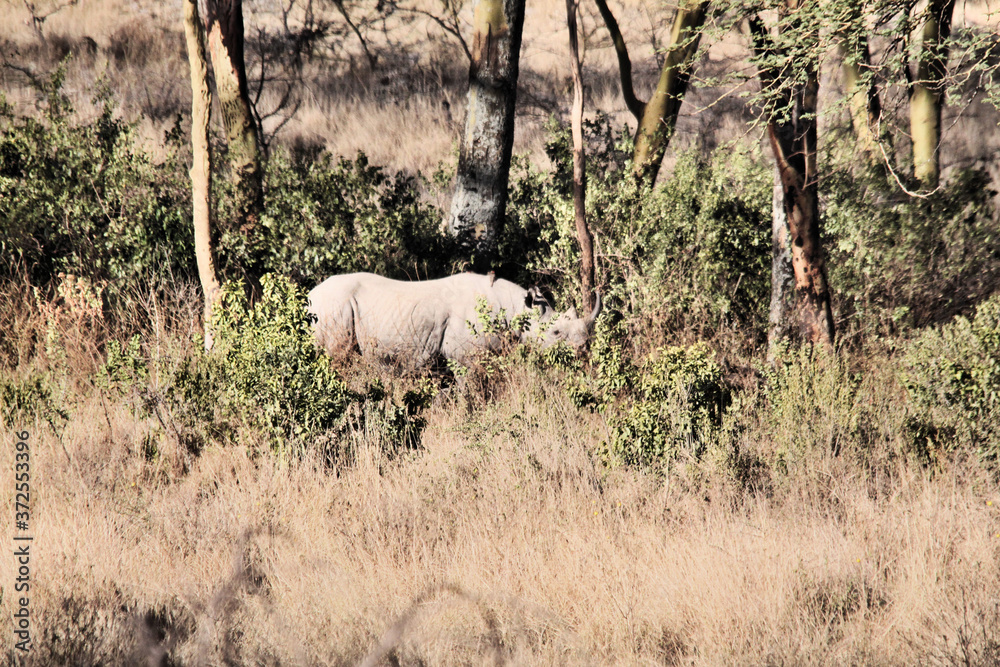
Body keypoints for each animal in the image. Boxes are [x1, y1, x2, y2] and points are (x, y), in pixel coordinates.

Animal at [307, 272, 601, 367]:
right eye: (556, 333)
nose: (583, 351)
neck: (517, 310)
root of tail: (309, 295)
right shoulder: (465, 356)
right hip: (332, 307)